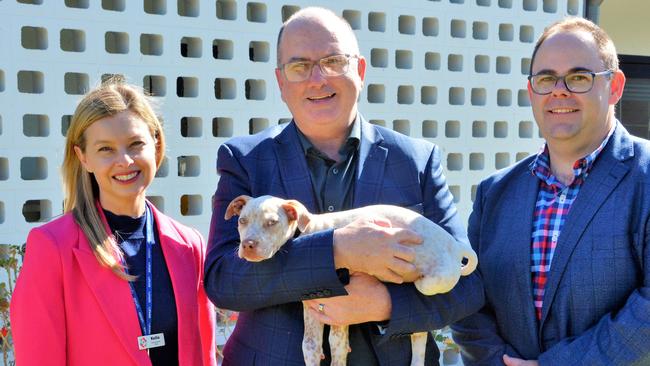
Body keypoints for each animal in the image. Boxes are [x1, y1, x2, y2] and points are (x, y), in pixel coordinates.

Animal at [224, 194, 476, 366]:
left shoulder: (340, 313)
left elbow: (336, 347)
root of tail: (456, 247)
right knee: (419, 335)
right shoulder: (312, 310)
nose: (247, 246)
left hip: (429, 283)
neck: (306, 229)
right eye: (242, 221)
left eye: (272, 222)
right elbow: (310, 347)